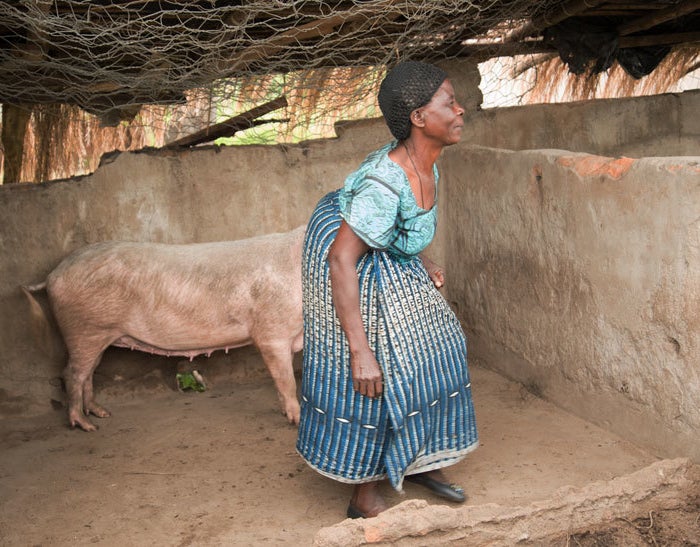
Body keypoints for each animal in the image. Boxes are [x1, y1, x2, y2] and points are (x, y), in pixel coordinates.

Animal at [23, 227, 304, 432]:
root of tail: (52, 274)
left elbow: (281, 377)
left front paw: (284, 412)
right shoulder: (271, 332)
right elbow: (286, 380)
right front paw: (296, 421)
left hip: (96, 335)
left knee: (88, 372)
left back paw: (102, 413)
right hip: (84, 329)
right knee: (72, 373)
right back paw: (87, 426)